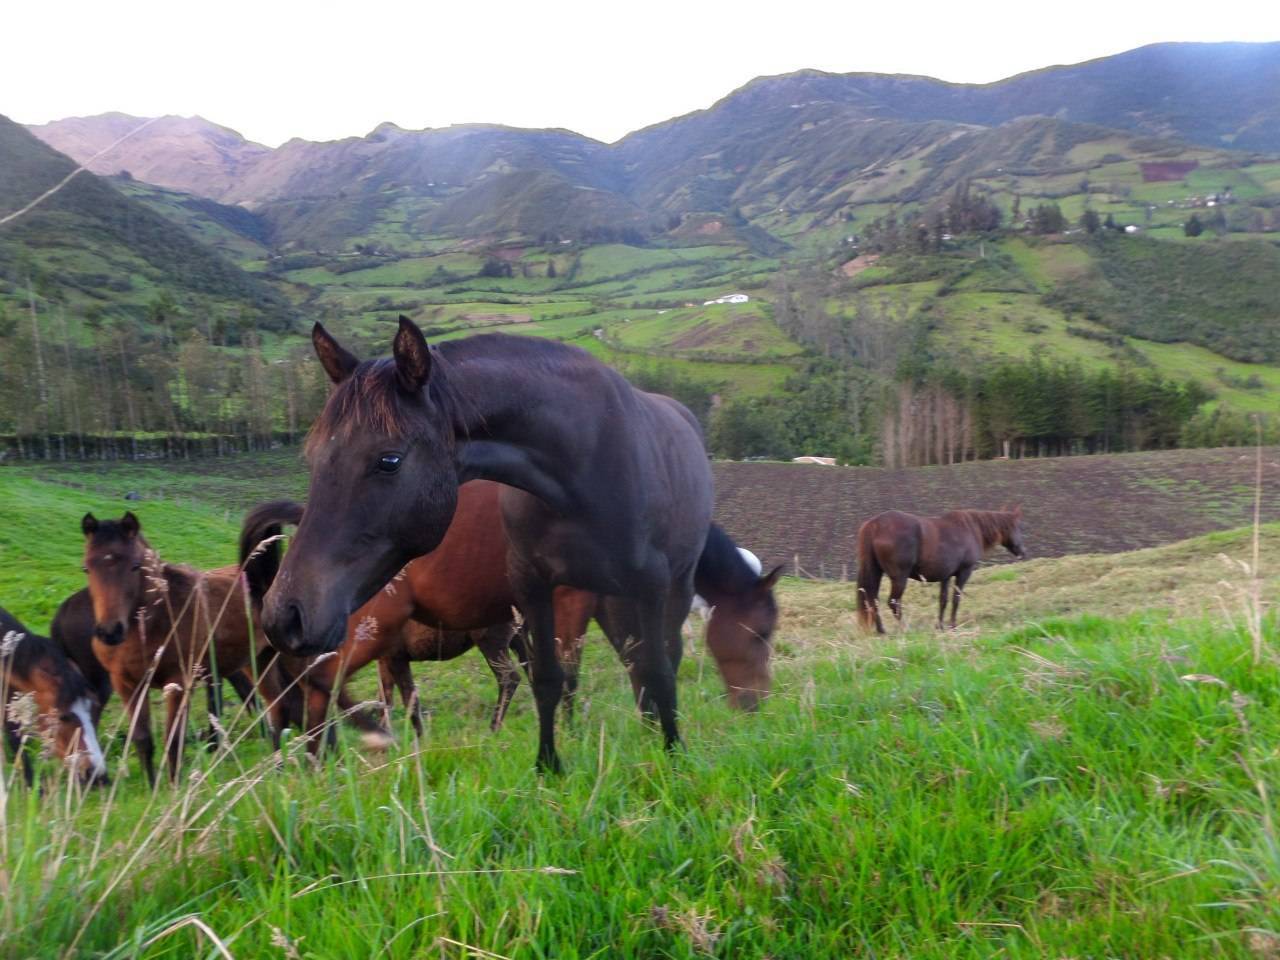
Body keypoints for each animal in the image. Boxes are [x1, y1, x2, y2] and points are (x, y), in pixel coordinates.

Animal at [82, 514, 288, 783]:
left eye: (135, 566)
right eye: (86, 568)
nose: (110, 631)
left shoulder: (178, 682)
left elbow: (174, 740)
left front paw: (174, 787)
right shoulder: (127, 684)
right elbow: (143, 740)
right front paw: (152, 788)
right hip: (257, 661)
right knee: (274, 705)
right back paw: (278, 766)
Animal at [263, 317, 716, 773]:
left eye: (388, 460)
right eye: (313, 457)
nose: (285, 616)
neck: (583, 466)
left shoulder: (649, 586)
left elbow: (659, 669)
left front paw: (674, 755)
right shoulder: (533, 585)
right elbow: (547, 677)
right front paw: (548, 766)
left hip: (673, 588)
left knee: (663, 656)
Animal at [855, 506, 1024, 634]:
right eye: (1017, 526)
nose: (1023, 552)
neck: (970, 528)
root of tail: (875, 525)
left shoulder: (946, 576)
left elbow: (943, 600)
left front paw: (940, 626)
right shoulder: (964, 572)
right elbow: (956, 599)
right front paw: (953, 626)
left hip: (876, 573)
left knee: (873, 601)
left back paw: (881, 630)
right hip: (899, 578)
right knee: (893, 603)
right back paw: (904, 629)